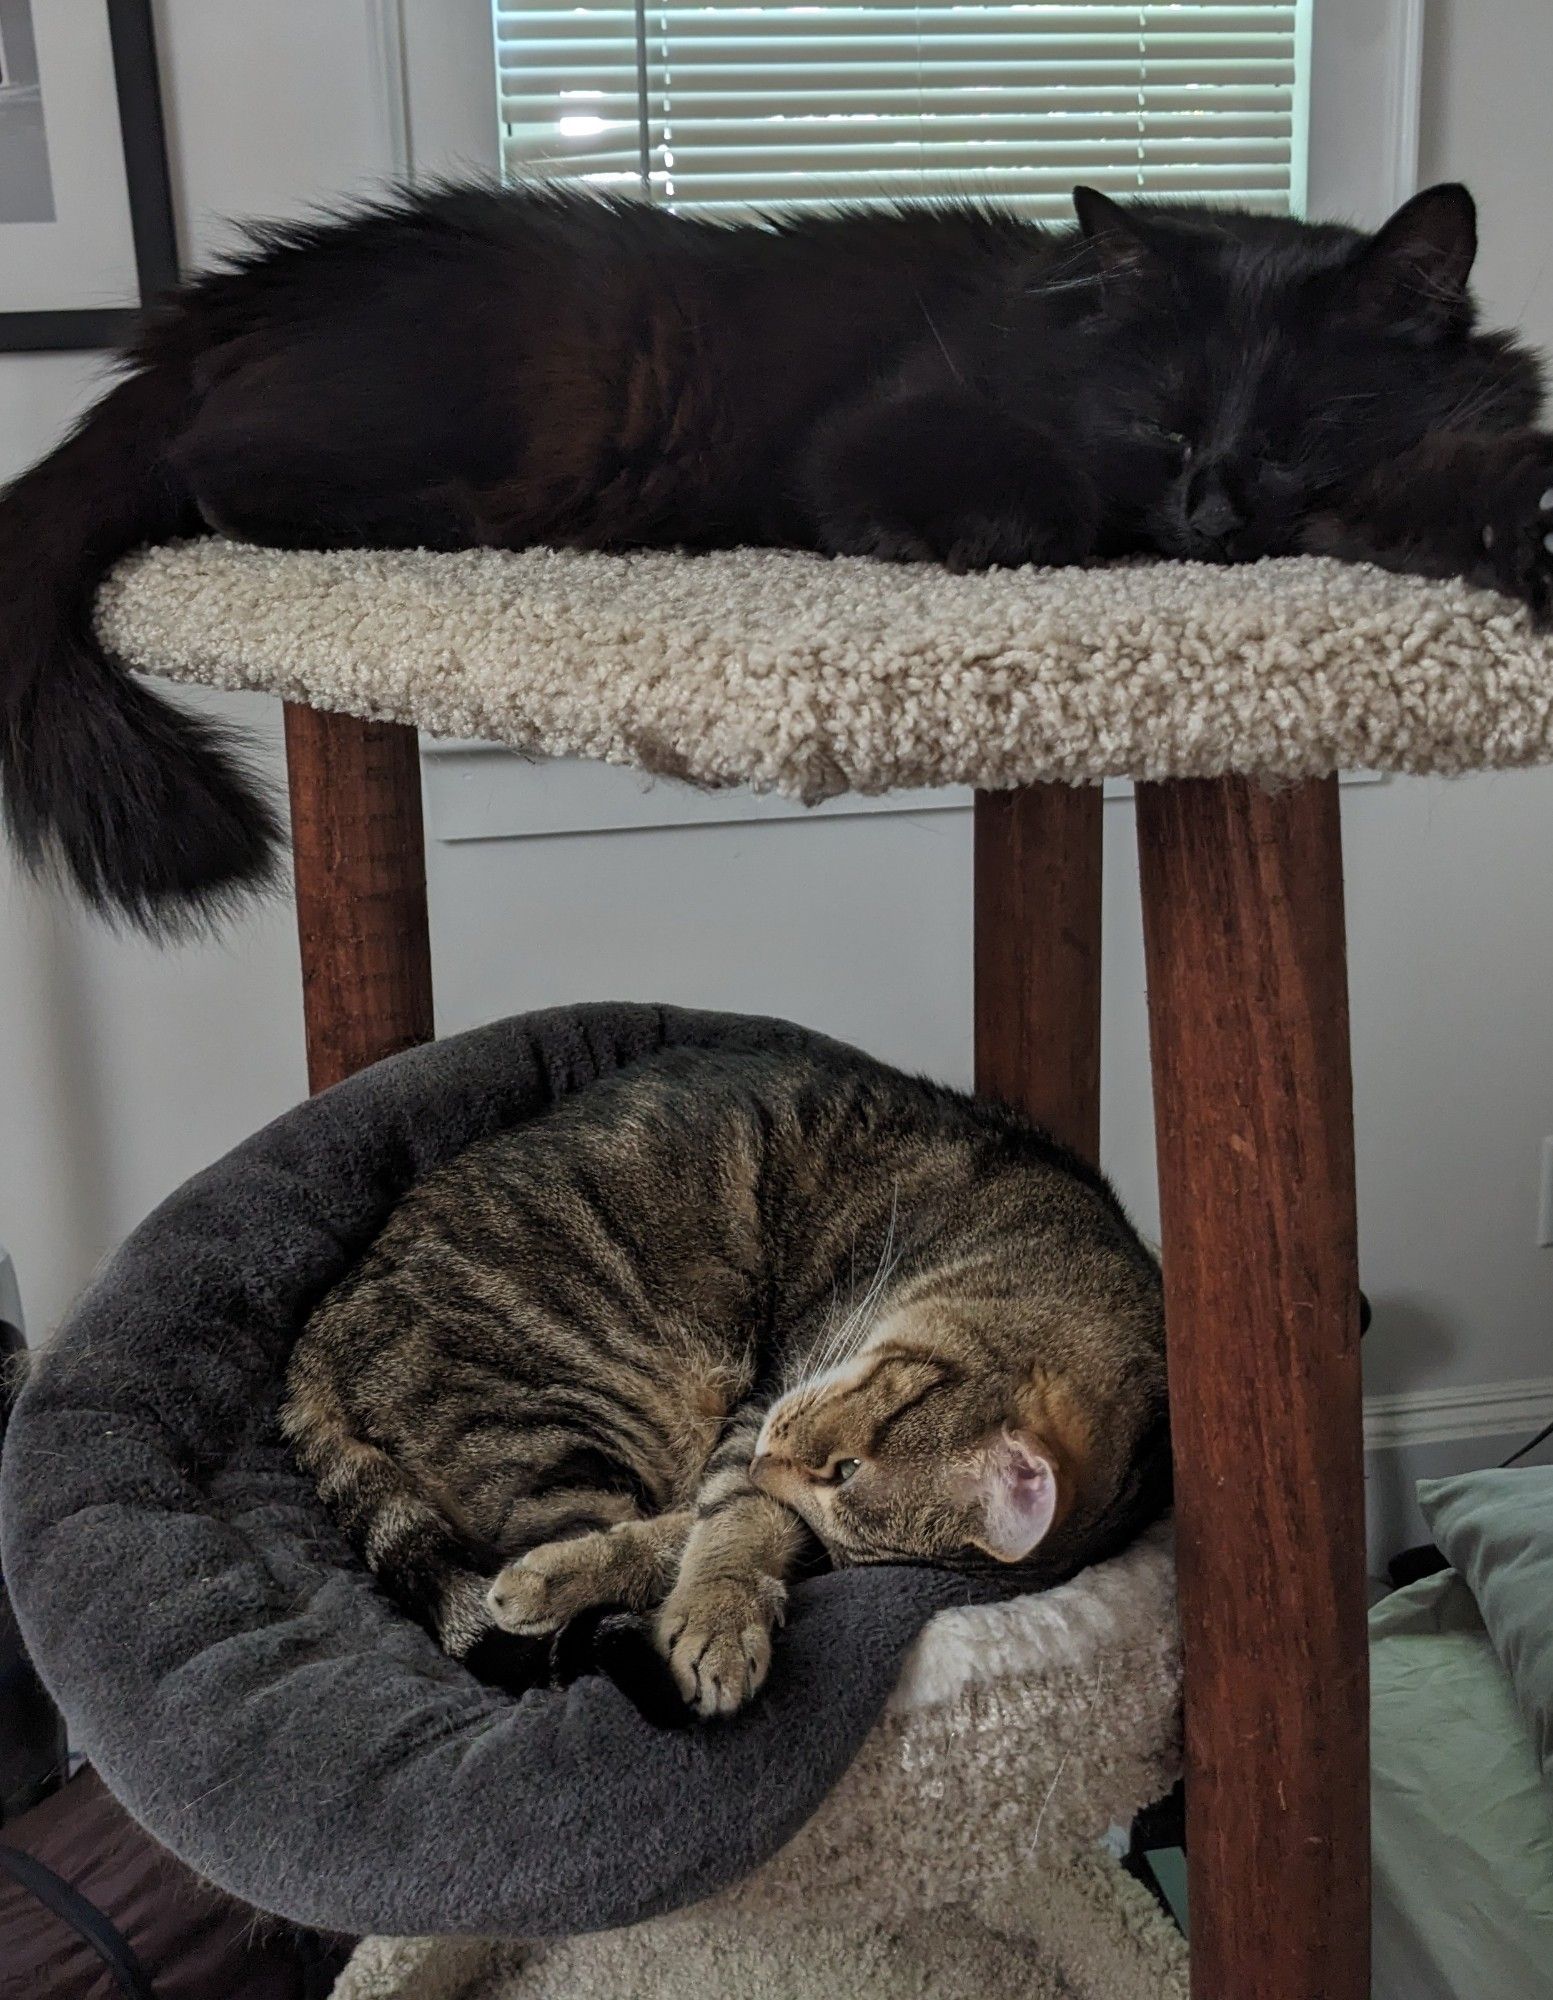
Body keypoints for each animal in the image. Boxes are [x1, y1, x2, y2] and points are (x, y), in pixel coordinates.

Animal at [3, 178, 1553, 928]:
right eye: (1159, 424)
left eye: (1300, 431)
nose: (1216, 515)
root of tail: (207, 312)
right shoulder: (879, 438)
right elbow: (1035, 502)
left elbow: (1459, 473)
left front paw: (1521, 523)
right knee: (219, 475)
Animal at [284, 1040, 1168, 1712]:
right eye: (847, 1467)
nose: (774, 1460)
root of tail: (320, 1333)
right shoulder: (770, 1396)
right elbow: (724, 1523)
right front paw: (705, 1612)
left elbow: (701, 1531)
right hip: (568, 1415)